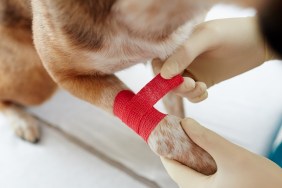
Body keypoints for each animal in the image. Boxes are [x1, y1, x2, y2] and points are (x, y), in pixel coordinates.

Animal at [0, 0, 223, 175]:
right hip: (38, 81)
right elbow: (163, 131)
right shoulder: (63, 74)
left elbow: (173, 94)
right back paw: (21, 121)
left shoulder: (175, 50)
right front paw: (203, 158)